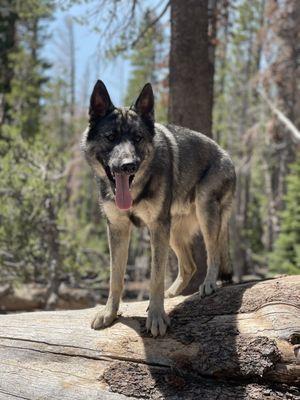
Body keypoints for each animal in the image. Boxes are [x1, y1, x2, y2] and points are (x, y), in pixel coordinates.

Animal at [82, 81, 237, 338]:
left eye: (137, 138)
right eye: (111, 137)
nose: (128, 165)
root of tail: (227, 156)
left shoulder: (156, 228)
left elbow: (155, 278)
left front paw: (156, 317)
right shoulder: (118, 230)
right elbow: (116, 277)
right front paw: (110, 313)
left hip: (204, 213)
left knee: (212, 254)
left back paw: (208, 284)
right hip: (172, 232)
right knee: (189, 266)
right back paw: (171, 294)